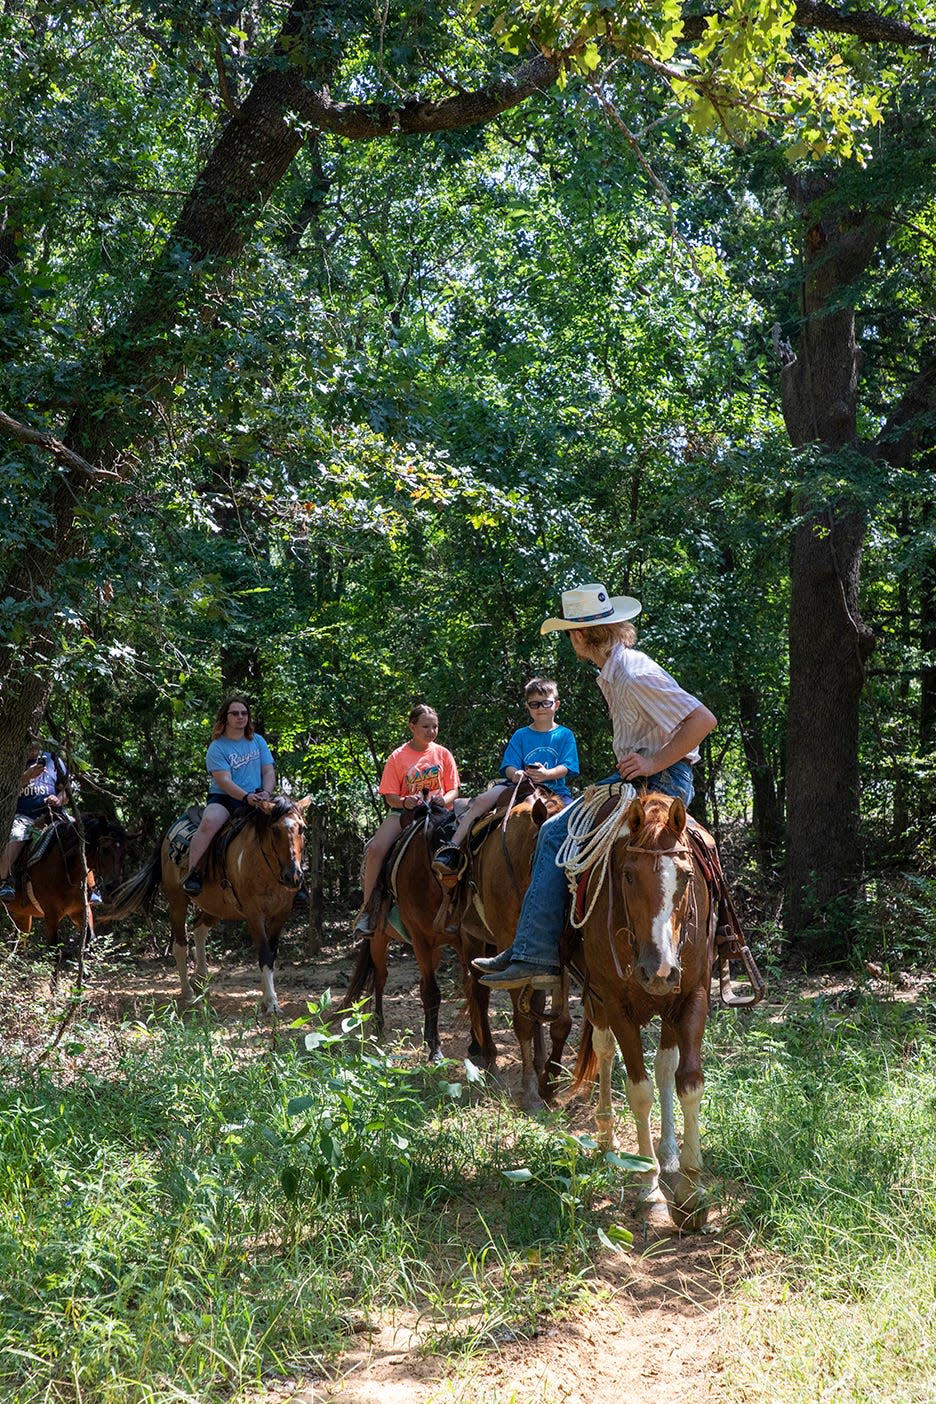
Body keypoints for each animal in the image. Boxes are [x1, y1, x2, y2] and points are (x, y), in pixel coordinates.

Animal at [2, 819, 129, 982]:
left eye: (124, 851)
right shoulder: (50, 915)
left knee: (20, 941)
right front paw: (54, 986)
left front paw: (83, 978)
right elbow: (54, 953)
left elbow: (89, 940)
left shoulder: (81, 910)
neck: (68, 868)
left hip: (20, 914)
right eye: (105, 849)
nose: (113, 886)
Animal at [101, 797, 311, 1016]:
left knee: (199, 927)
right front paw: (271, 1003)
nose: (293, 876)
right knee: (180, 946)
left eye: (303, 828)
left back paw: (200, 980)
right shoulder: (254, 915)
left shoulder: (281, 914)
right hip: (177, 901)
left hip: (218, 906)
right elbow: (264, 953)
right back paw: (188, 994)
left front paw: (267, 1000)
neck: (265, 868)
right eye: (275, 829)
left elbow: (272, 953)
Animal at [460, 786, 575, 1111]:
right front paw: (531, 1091)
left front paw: (549, 1082)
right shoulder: (506, 944)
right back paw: (490, 1060)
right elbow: (522, 1021)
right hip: (472, 938)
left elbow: (560, 1021)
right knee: (478, 992)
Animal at [566, 791, 712, 1229]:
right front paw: (650, 1187)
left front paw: (691, 1185)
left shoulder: (692, 996)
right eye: (628, 876)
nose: (659, 970)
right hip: (595, 998)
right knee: (603, 1048)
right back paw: (607, 1139)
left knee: (664, 1066)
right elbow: (639, 1090)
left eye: (686, 876)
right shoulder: (616, 1004)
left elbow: (687, 1081)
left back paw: (668, 1155)